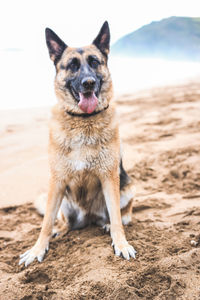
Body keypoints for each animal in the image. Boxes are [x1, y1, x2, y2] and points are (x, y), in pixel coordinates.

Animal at [19, 21, 136, 266]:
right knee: (62, 221)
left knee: (122, 216)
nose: (88, 83)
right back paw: (60, 230)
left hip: (128, 187)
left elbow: (117, 218)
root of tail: (89, 217)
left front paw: (121, 243)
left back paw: (107, 225)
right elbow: (45, 223)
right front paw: (37, 249)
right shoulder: (57, 181)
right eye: (72, 65)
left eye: (94, 62)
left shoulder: (109, 177)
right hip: (63, 200)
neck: (84, 121)